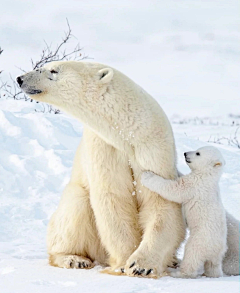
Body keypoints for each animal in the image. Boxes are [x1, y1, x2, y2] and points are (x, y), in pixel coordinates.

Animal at [17, 61, 186, 276]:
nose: (20, 79)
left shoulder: (152, 146)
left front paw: (141, 265)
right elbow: (113, 197)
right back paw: (74, 259)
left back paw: (174, 261)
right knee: (75, 207)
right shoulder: (104, 146)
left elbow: (158, 198)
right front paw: (124, 263)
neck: (127, 131)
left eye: (53, 70)